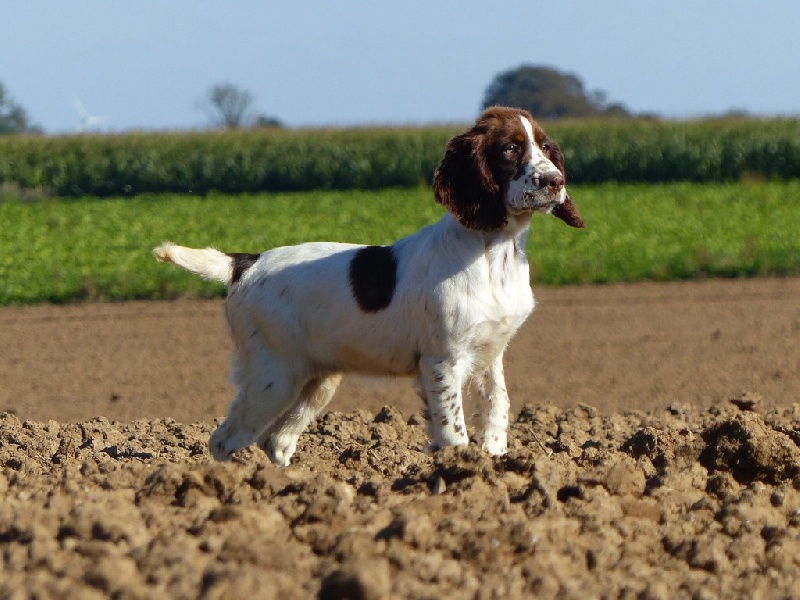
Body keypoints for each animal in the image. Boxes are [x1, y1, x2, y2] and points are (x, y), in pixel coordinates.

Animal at [155, 106, 580, 464]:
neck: (493, 250)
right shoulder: (442, 360)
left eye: (546, 148)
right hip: (274, 374)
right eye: (510, 148)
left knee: (275, 440)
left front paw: (494, 464)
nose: (555, 181)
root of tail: (244, 262)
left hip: (315, 379)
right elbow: (453, 431)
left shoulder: (490, 355)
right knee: (225, 439)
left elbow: (497, 410)